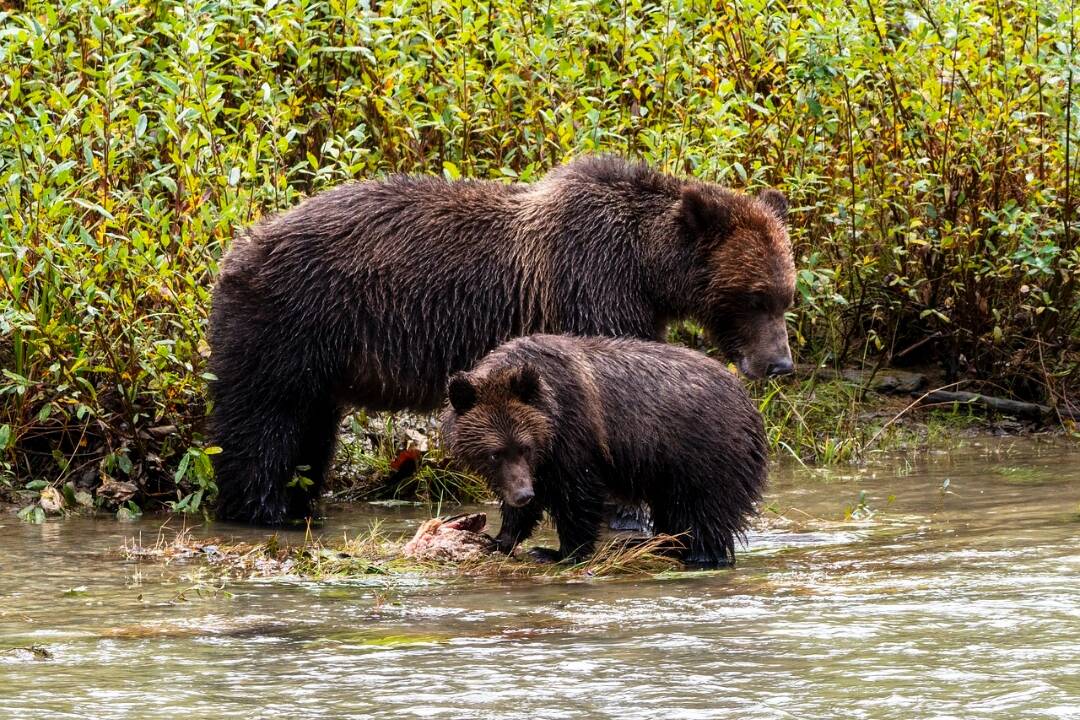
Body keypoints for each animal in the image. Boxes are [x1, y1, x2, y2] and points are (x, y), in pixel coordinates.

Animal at [208, 155, 794, 524]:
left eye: (787, 295)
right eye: (755, 297)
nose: (780, 364)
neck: (646, 270)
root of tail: (238, 247)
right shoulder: (590, 289)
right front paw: (627, 511)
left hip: (321, 357)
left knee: (310, 429)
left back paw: (299, 505)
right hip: (289, 322)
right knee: (262, 420)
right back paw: (262, 511)